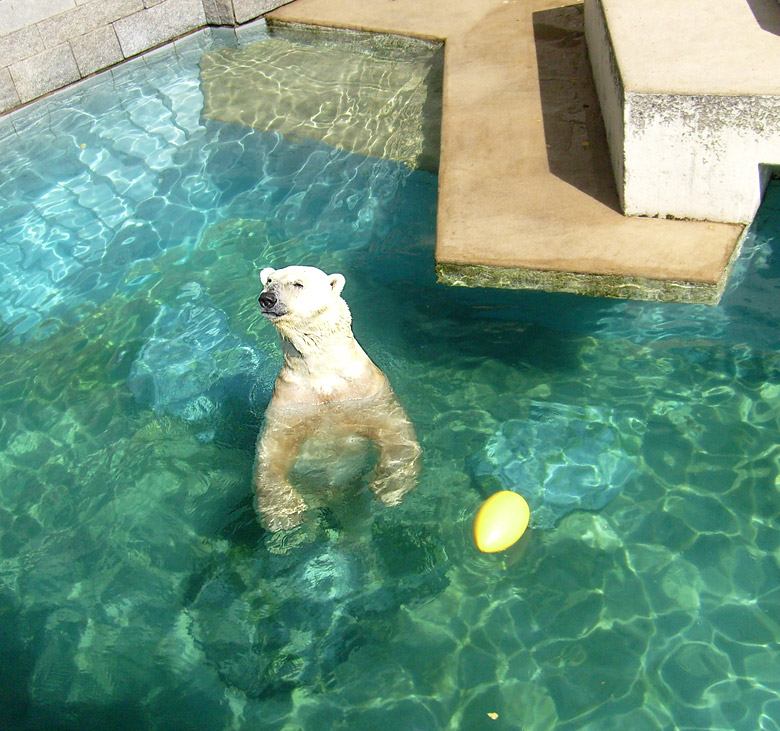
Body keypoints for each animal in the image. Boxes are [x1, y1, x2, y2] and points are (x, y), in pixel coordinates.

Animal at [251, 266, 420, 528]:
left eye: (298, 283)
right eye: (268, 280)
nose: (267, 298)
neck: (324, 374)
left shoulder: (367, 391)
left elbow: (396, 431)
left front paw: (388, 487)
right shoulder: (290, 402)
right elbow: (273, 450)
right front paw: (283, 511)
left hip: (353, 490)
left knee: (356, 516)